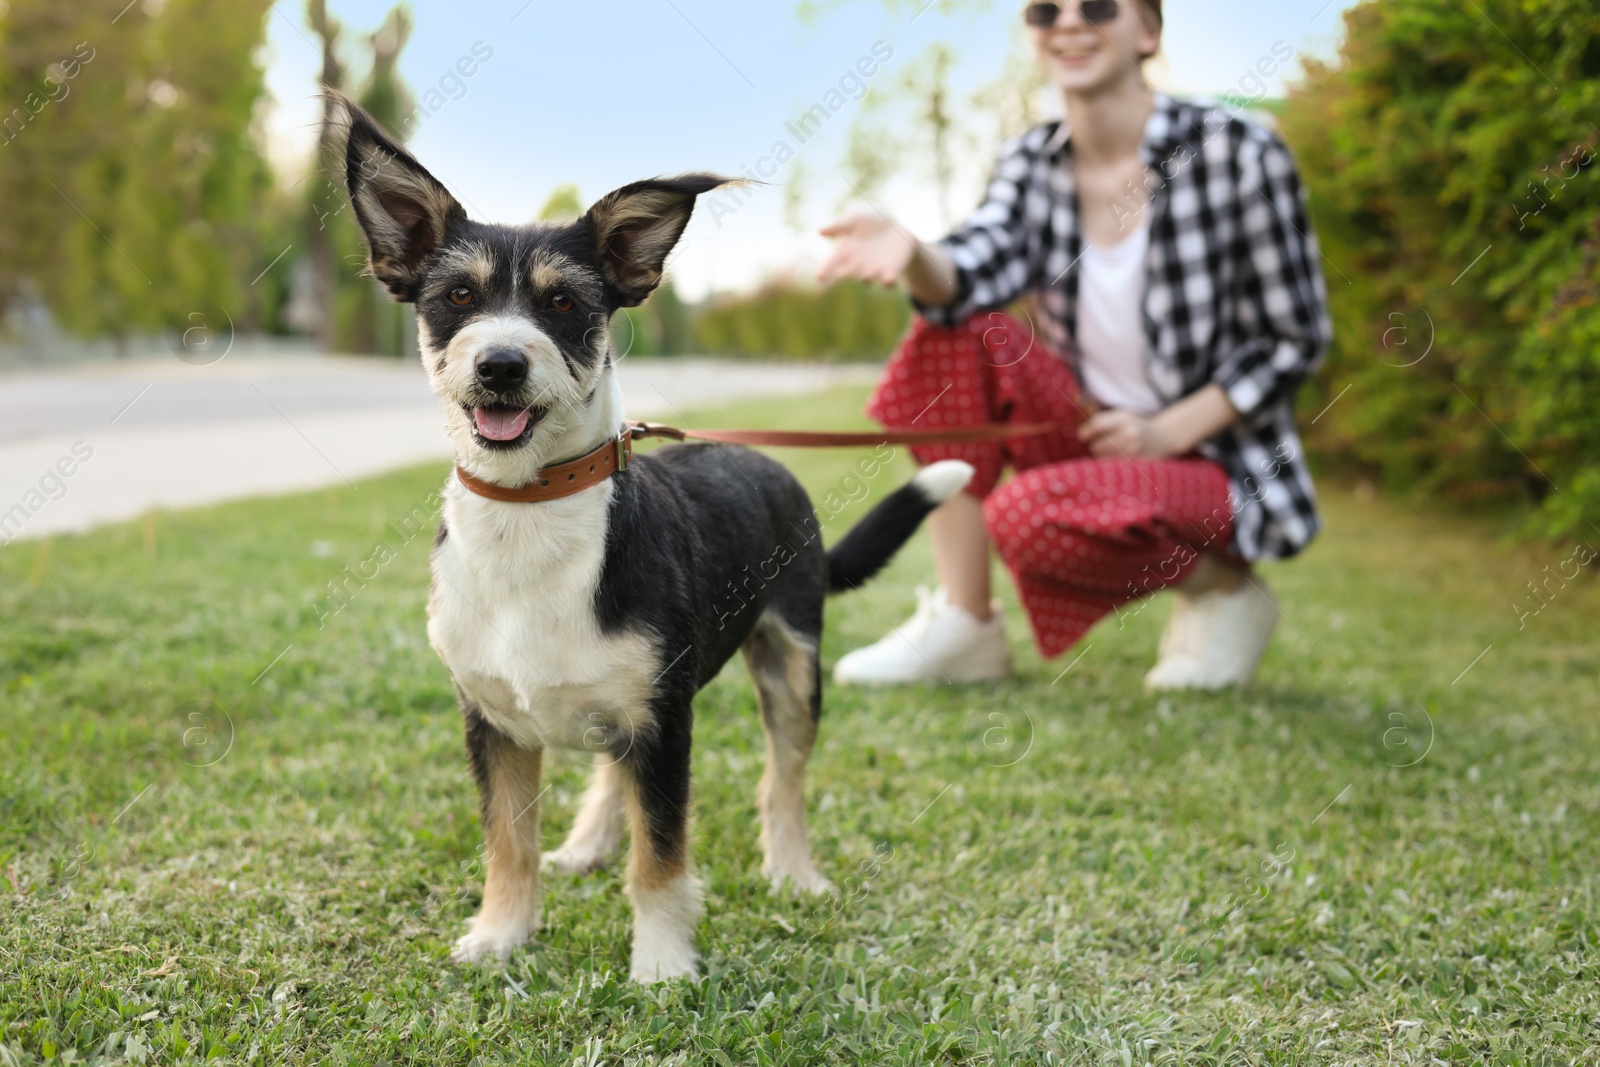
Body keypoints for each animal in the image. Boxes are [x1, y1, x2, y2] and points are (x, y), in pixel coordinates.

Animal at [331, 95, 966, 979]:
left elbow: (661, 854)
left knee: (783, 778)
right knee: (613, 769)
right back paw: (588, 842)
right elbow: (508, 844)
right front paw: (500, 936)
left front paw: (663, 965)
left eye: (564, 304)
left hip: (792, 663)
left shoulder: (665, 726)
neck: (529, 514)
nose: (500, 364)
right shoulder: (493, 722)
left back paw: (794, 871)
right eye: (456, 295)